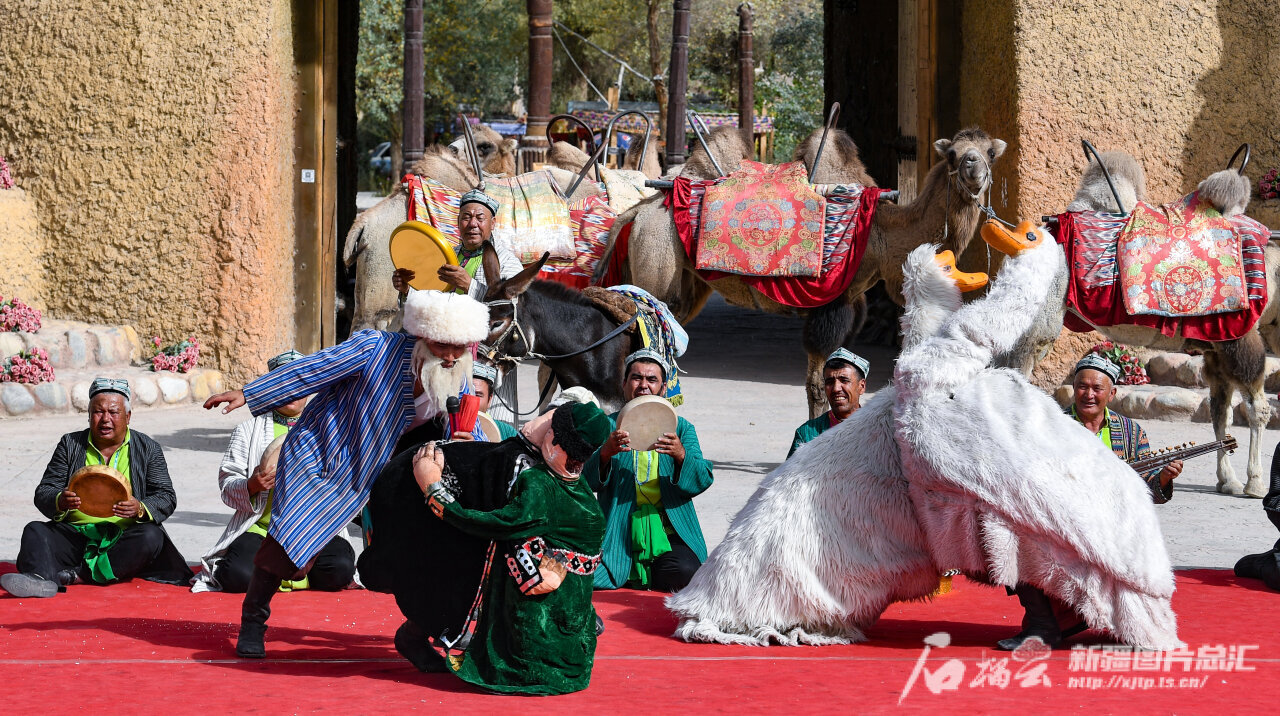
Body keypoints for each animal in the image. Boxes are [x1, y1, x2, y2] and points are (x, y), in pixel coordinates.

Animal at [597, 125, 1007, 416]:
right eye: (953, 154)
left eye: (989, 151)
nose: (972, 167)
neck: (880, 236)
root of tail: (637, 212)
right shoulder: (830, 304)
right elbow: (817, 384)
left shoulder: (851, 304)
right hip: (656, 268)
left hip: (685, 288)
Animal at [1000, 152, 1278, 498]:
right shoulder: (1240, 337)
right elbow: (1257, 409)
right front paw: (1255, 483)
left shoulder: (1216, 346)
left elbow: (1220, 412)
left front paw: (1227, 480)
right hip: (1039, 324)